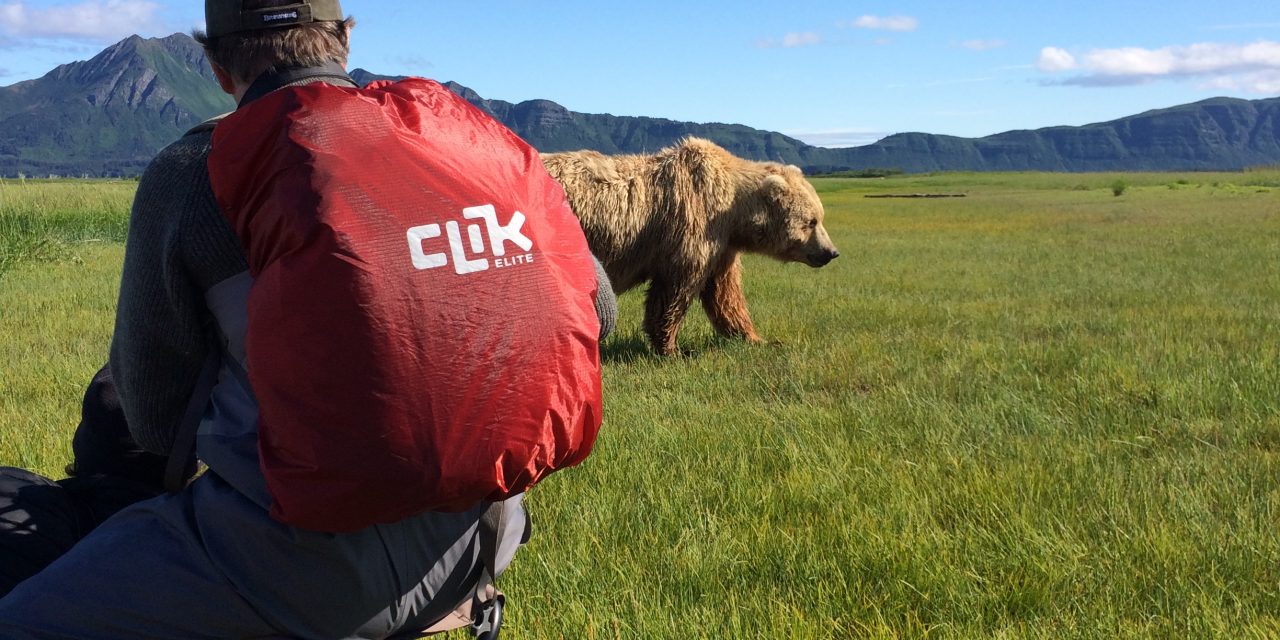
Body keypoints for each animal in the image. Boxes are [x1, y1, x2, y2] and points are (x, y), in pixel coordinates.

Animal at [541, 137, 839, 356]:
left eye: (820, 216)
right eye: (811, 221)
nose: (831, 252)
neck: (734, 211)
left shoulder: (722, 247)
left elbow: (725, 295)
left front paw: (754, 338)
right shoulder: (693, 228)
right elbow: (674, 291)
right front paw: (671, 348)